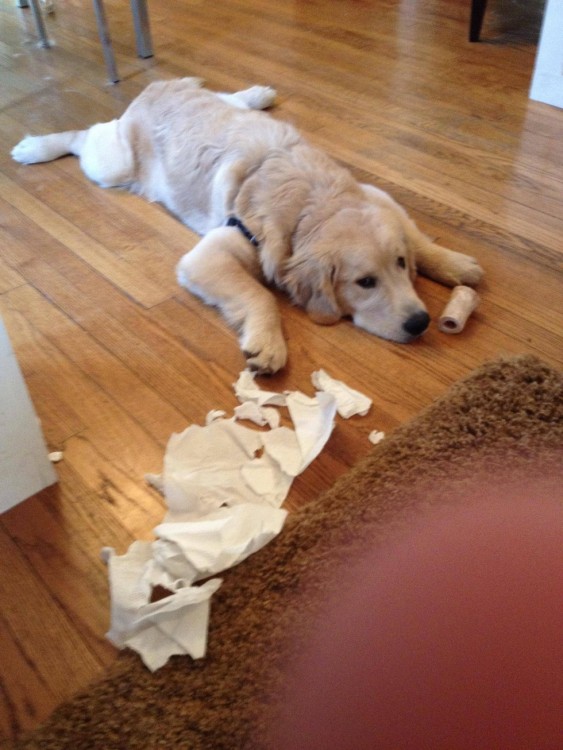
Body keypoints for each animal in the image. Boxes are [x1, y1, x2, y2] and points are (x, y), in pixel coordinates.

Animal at [11, 78, 482, 374]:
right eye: (364, 282)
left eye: (400, 264)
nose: (421, 322)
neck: (307, 205)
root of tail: (155, 88)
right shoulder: (209, 254)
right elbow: (260, 295)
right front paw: (268, 344)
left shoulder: (375, 194)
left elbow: (416, 233)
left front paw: (455, 263)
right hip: (111, 164)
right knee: (81, 134)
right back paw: (35, 147)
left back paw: (258, 93)